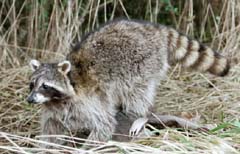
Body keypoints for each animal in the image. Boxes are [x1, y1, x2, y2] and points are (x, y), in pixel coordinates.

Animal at [27, 18, 230, 144]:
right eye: (32, 84)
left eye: (45, 85)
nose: (29, 99)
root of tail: (154, 29)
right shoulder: (54, 109)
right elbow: (51, 130)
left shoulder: (88, 102)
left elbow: (105, 124)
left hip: (142, 63)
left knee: (136, 92)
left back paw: (141, 115)